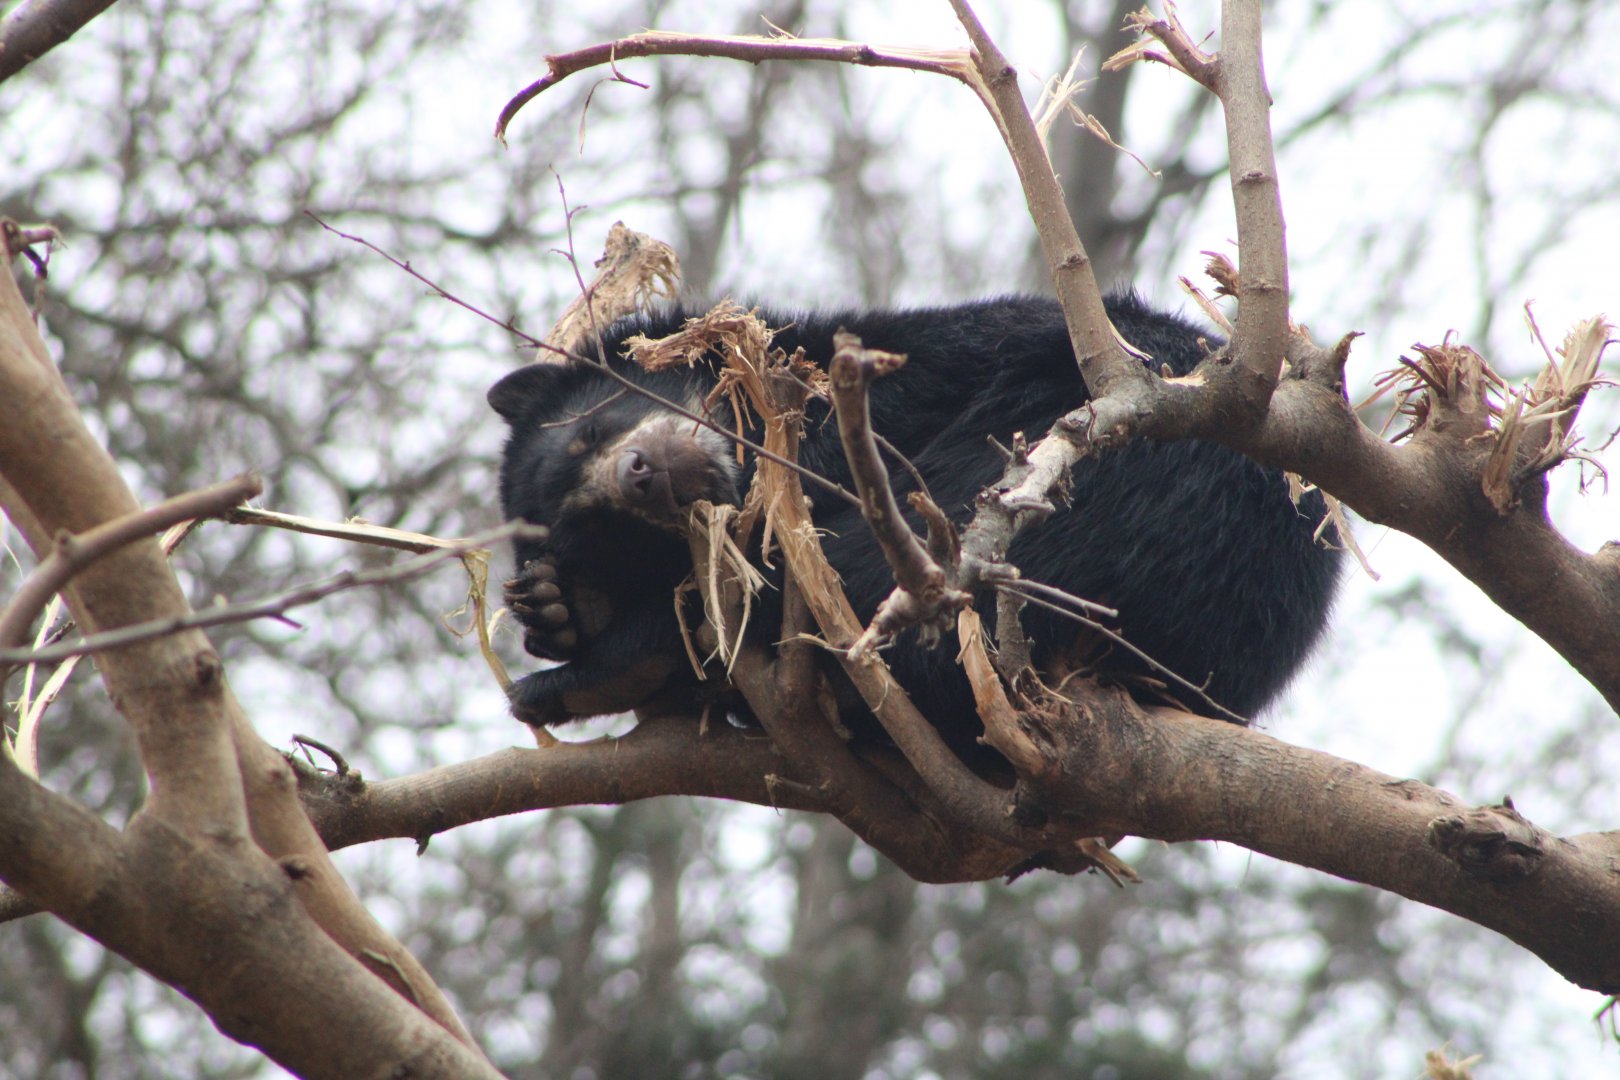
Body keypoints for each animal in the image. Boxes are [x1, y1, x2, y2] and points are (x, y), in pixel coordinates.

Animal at [488, 293, 1341, 746]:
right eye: (603, 529)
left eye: (591, 430)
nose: (641, 478)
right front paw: (562, 608)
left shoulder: (886, 388)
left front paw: (581, 633)